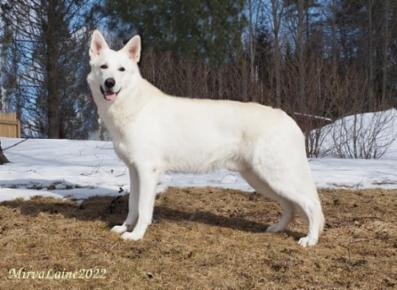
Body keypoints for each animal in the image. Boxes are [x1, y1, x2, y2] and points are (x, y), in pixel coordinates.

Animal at [86, 30, 324, 247]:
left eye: (121, 70)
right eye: (104, 67)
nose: (110, 83)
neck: (132, 105)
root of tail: (288, 118)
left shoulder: (147, 171)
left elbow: (143, 209)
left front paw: (136, 235)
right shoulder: (134, 171)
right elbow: (132, 205)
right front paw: (124, 227)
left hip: (277, 177)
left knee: (312, 205)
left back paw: (310, 240)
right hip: (261, 179)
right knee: (290, 206)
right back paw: (277, 228)